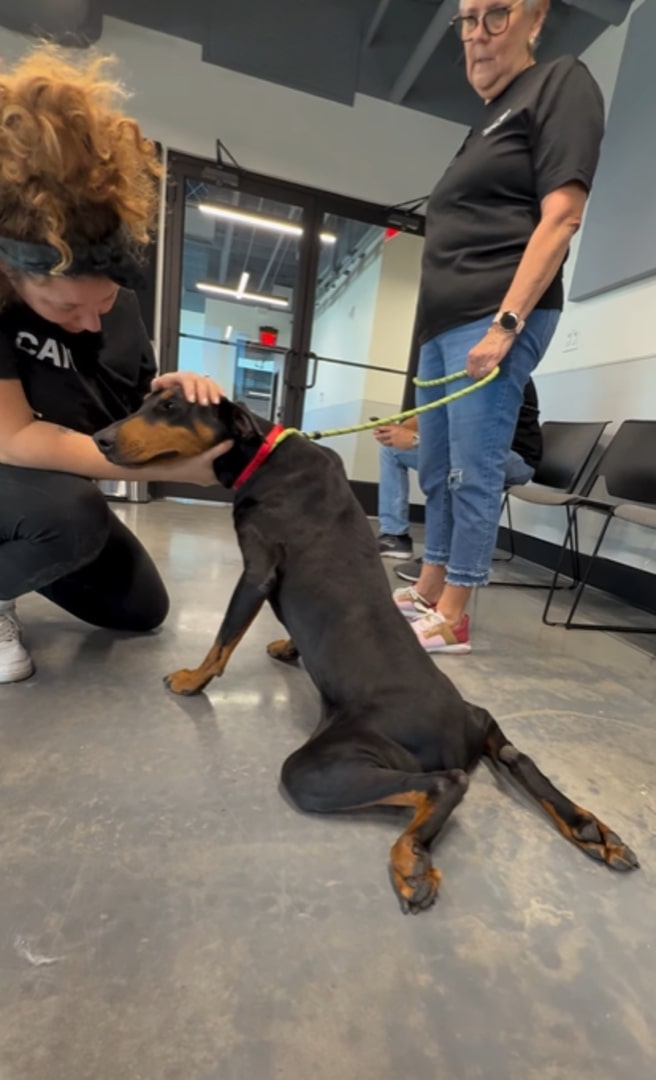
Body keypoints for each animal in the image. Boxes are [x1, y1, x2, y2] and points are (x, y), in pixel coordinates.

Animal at [95, 388, 639, 911]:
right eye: (146, 401)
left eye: (170, 405)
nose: (100, 438)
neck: (266, 455)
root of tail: (454, 732)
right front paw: (287, 646)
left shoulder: (257, 569)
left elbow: (224, 637)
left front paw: (191, 678)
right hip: (478, 719)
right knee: (516, 756)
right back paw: (590, 828)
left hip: (327, 763)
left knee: (445, 783)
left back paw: (411, 860)